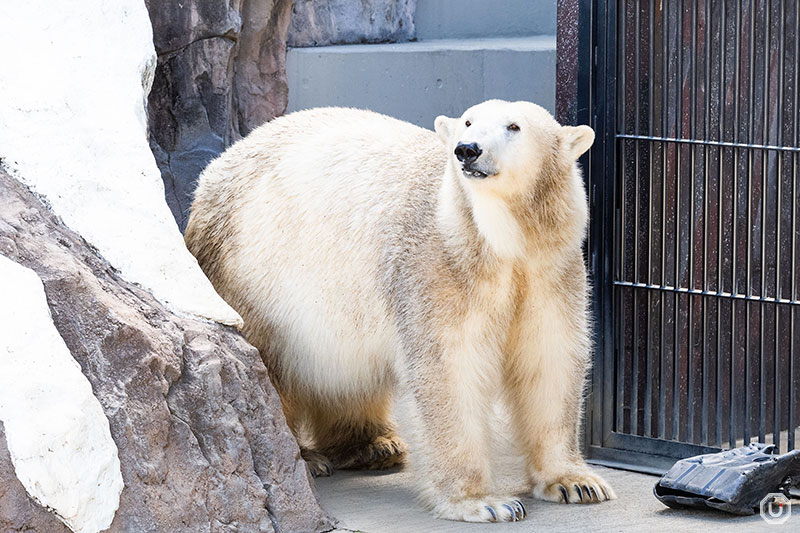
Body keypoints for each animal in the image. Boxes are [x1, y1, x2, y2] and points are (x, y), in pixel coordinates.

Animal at [184, 100, 616, 520]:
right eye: (468, 121)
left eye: (514, 126)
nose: (467, 149)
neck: (500, 244)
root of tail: (219, 164)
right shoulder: (439, 265)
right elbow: (449, 368)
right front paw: (485, 502)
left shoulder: (548, 269)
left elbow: (549, 358)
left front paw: (576, 482)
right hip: (251, 277)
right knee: (273, 363)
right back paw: (308, 457)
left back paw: (375, 445)